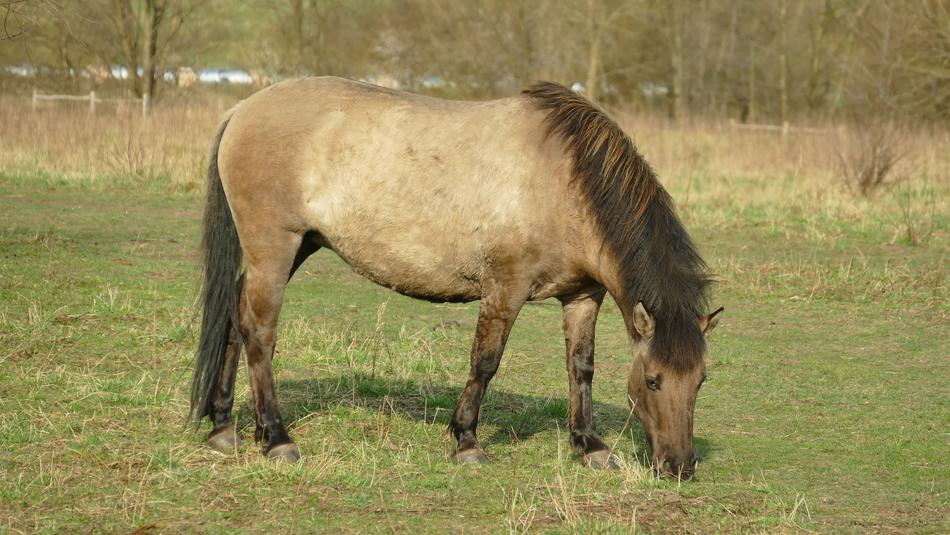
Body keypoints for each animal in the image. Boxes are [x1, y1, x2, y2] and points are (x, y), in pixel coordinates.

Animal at [190, 77, 722, 479]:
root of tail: (243, 108)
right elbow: (485, 361)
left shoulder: (582, 295)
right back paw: (276, 438)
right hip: (274, 248)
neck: (565, 183)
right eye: (652, 380)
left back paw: (223, 427)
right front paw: (466, 441)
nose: (680, 466)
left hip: (297, 246)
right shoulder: (505, 288)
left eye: (699, 380)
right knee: (259, 332)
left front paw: (589, 445)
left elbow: (582, 367)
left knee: (235, 320)